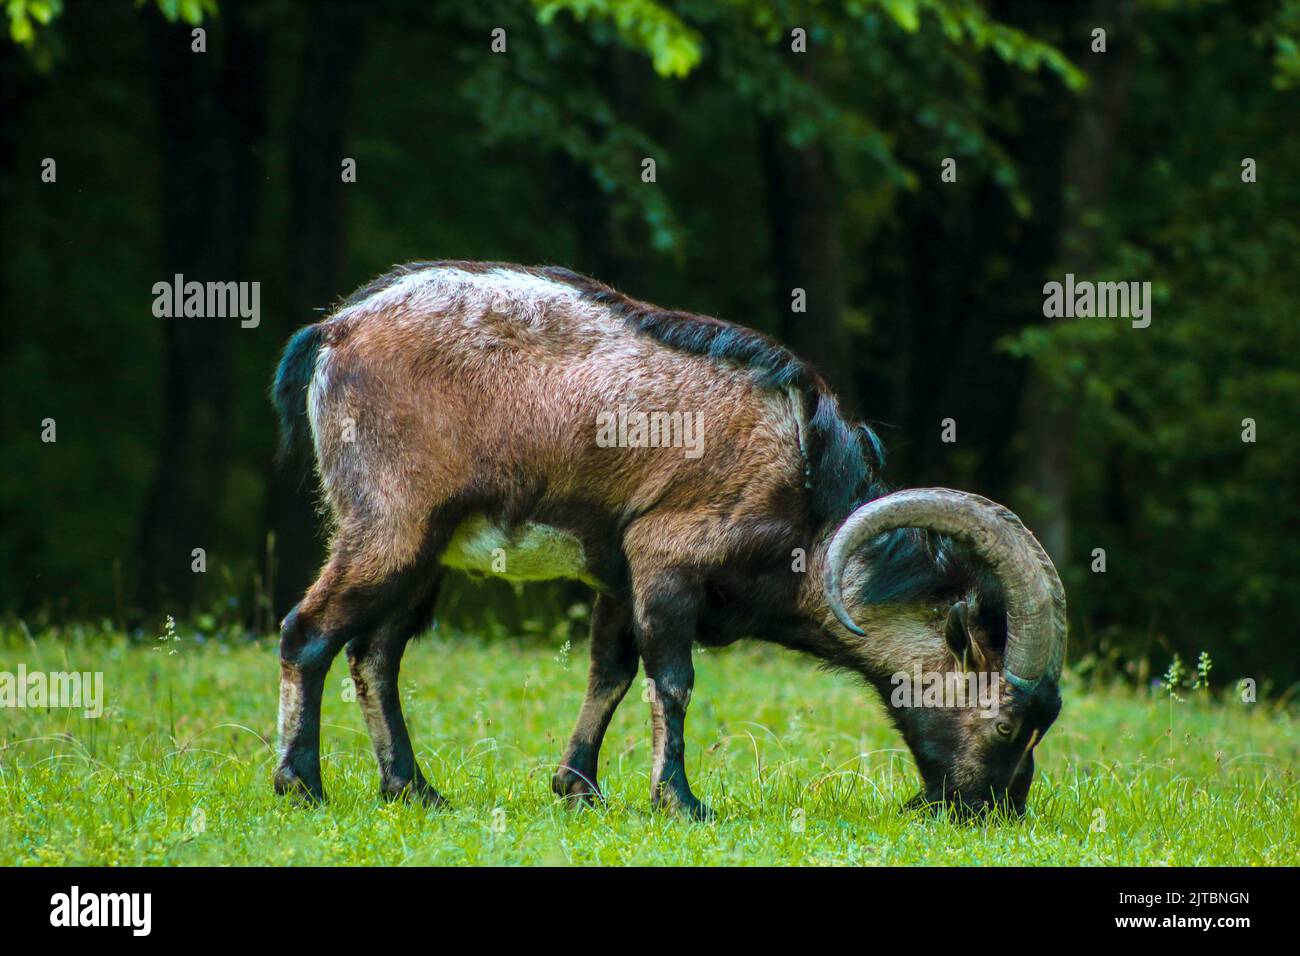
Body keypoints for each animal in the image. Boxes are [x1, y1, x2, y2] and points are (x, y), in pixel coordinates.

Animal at [271, 261, 1066, 818]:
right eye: (1005, 724)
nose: (994, 811)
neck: (803, 478)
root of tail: (334, 333)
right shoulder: (665, 556)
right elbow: (673, 679)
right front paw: (679, 800)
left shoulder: (618, 578)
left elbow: (611, 673)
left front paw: (579, 788)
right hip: (392, 523)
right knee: (307, 632)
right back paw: (301, 784)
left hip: (428, 548)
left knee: (375, 653)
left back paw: (412, 789)